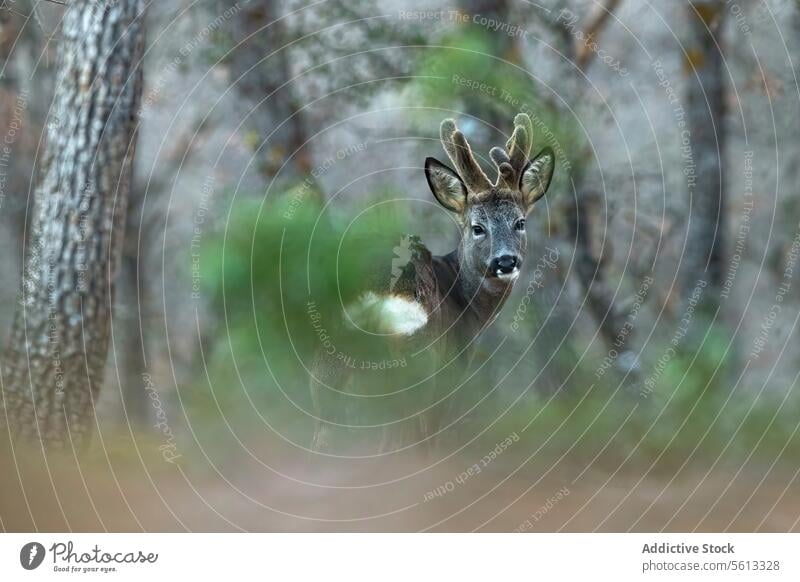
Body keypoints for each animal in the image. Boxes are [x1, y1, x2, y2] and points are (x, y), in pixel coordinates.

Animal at [310, 113, 552, 452]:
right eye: (477, 227)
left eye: (520, 222)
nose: (505, 261)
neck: (465, 303)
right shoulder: (450, 373)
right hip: (416, 365)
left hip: (325, 375)